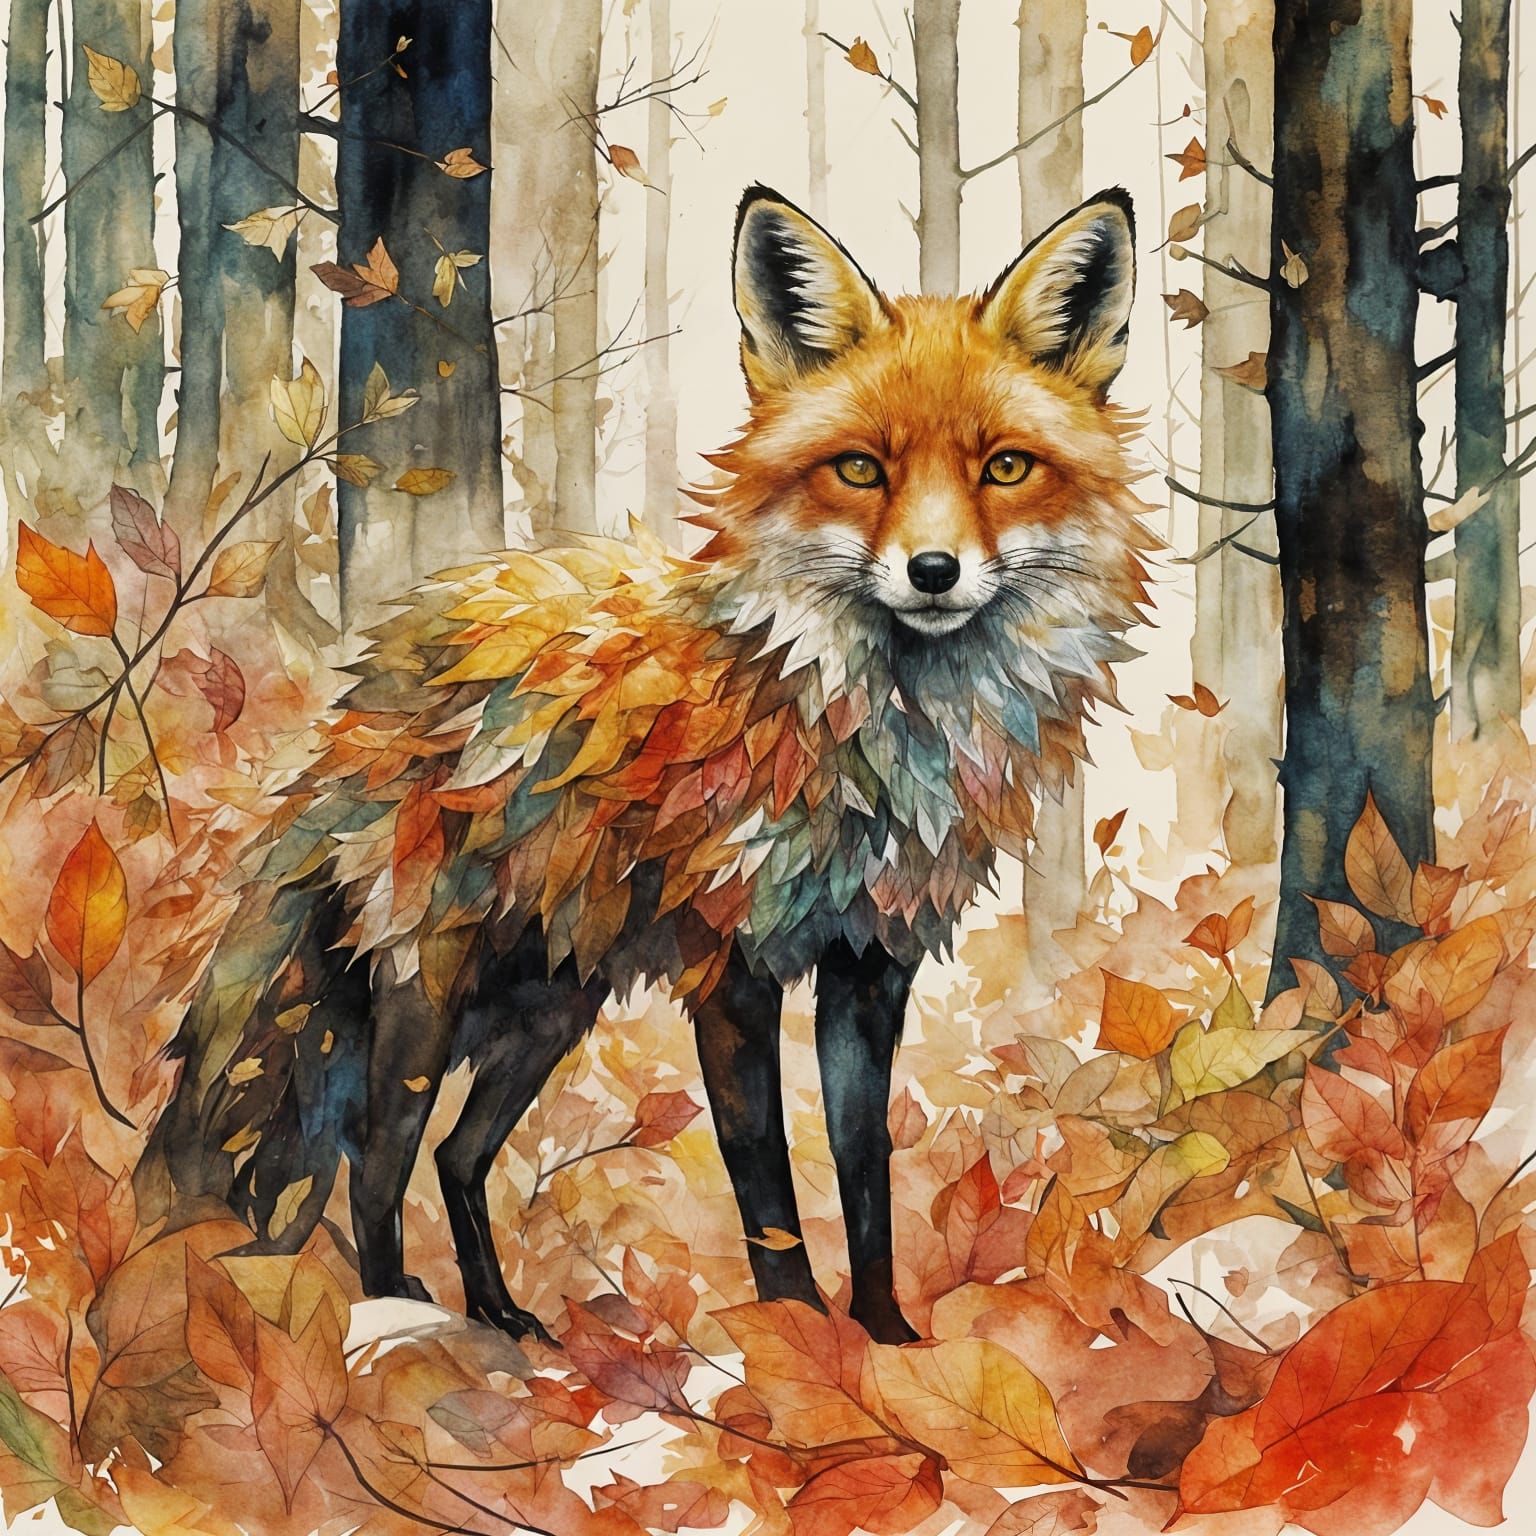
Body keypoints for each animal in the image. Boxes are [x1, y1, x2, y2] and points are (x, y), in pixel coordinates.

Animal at [138, 185, 1153, 1347]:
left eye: (1004, 467)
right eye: (861, 468)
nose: (933, 570)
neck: (871, 731)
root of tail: (372, 680)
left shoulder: (869, 966)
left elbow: (865, 1176)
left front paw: (885, 1342)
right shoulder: (731, 968)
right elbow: (767, 1192)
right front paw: (794, 1344)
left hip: (549, 1007)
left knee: (456, 1157)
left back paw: (500, 1313)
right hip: (427, 1003)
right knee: (376, 1163)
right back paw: (399, 1316)